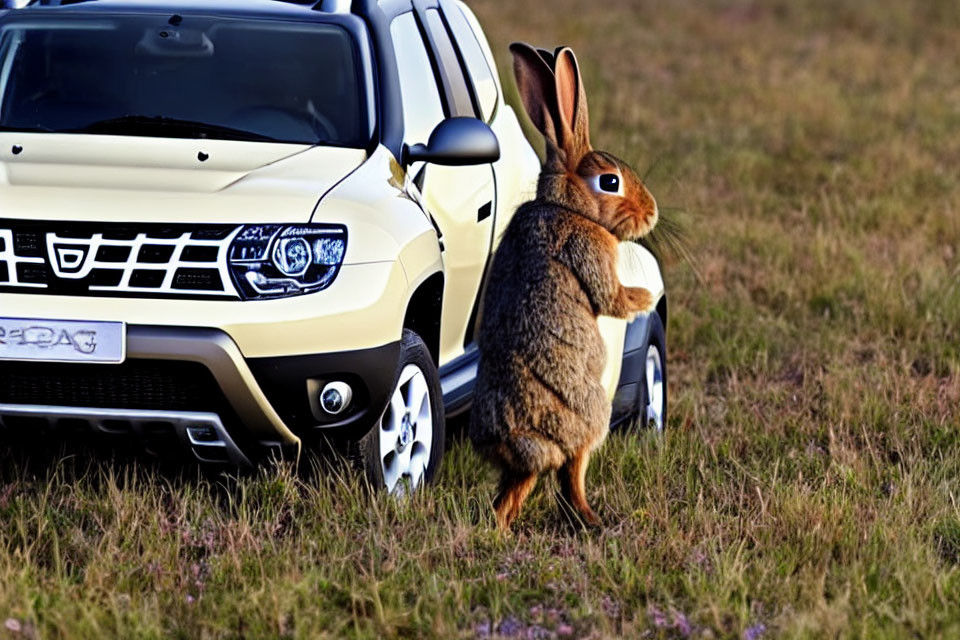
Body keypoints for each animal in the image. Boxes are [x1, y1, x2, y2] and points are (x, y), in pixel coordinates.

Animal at [470, 43, 660, 528]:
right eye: (610, 182)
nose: (651, 213)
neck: (567, 207)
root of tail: (519, 445)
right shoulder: (587, 251)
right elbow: (611, 298)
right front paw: (645, 298)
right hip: (591, 417)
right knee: (571, 473)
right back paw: (594, 520)